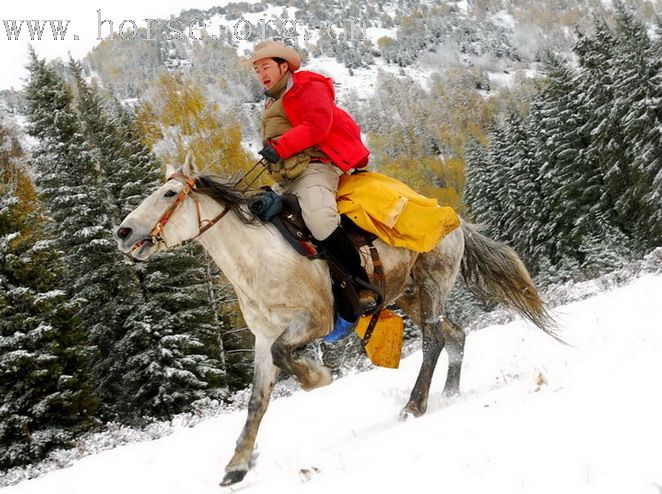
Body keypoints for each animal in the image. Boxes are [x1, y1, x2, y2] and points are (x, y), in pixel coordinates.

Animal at [115, 156, 560, 488]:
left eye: (169, 193)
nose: (123, 232)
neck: (259, 258)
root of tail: (452, 220)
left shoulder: (315, 321)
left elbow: (287, 356)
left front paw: (316, 376)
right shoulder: (263, 337)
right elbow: (257, 400)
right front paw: (237, 465)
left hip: (432, 285)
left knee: (434, 341)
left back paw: (414, 405)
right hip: (410, 296)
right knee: (456, 335)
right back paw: (448, 394)